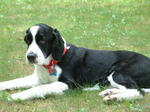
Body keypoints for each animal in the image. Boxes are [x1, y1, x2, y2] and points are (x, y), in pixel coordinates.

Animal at [0, 23, 150, 101]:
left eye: (42, 40)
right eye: (28, 40)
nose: (30, 56)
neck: (52, 62)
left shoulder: (70, 83)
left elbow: (41, 88)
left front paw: (18, 95)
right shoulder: (38, 78)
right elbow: (13, 81)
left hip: (117, 73)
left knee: (139, 91)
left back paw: (114, 98)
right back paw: (109, 93)